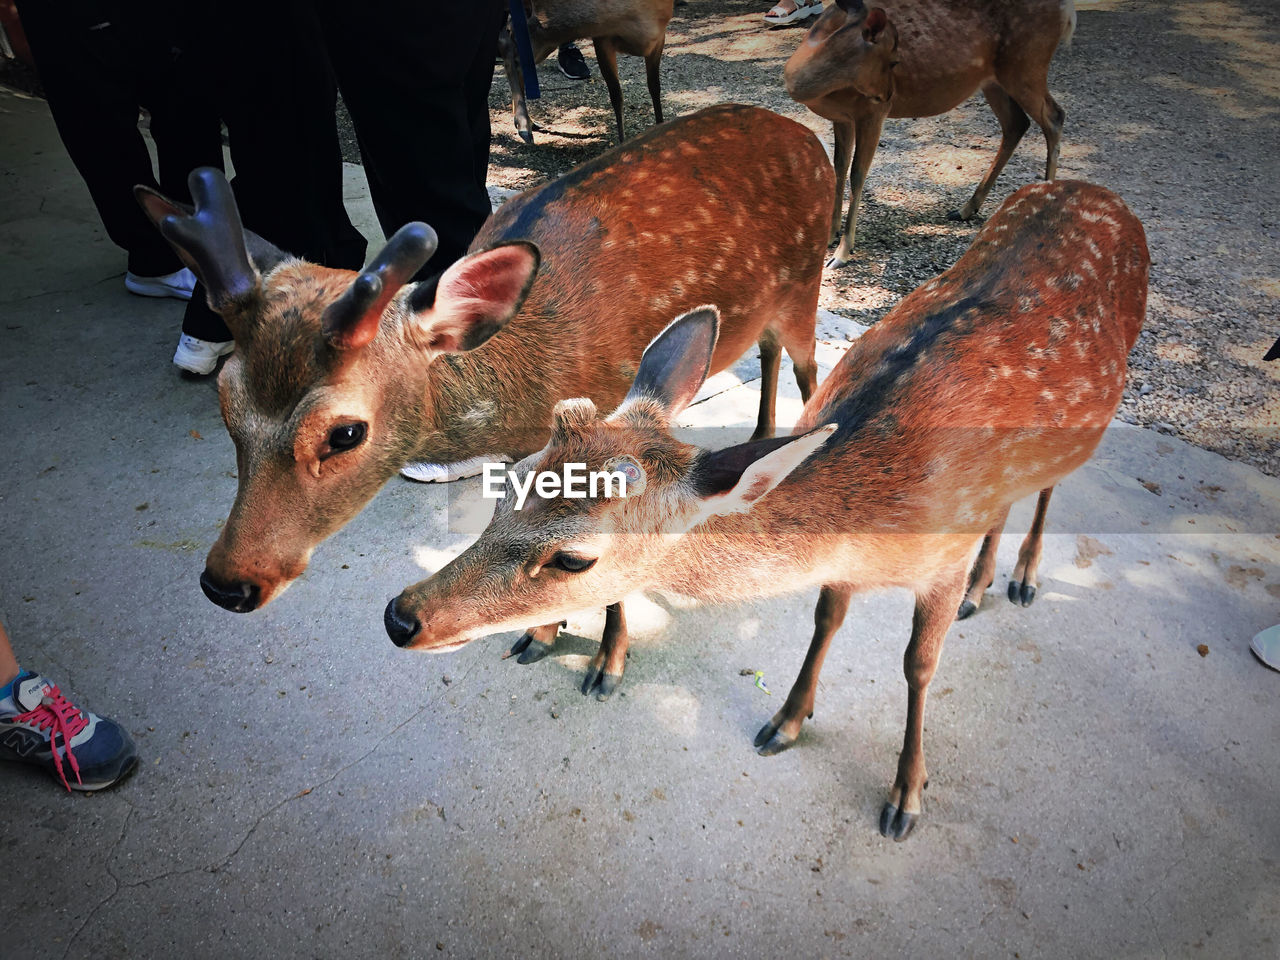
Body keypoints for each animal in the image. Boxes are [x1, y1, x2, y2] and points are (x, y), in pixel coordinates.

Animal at [378, 180, 1152, 839]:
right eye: (509, 486)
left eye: (574, 558)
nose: (401, 617)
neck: (877, 517)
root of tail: (1104, 195)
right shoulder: (848, 565)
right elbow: (825, 617)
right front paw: (787, 719)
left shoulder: (939, 560)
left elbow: (918, 666)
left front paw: (906, 795)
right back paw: (987, 582)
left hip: (1090, 423)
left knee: (1047, 488)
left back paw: (1018, 578)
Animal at [496, 0, 675, 142]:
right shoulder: (602, 38)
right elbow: (616, 96)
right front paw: (622, 143)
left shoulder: (659, 37)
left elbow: (655, 87)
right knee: (505, 45)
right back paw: (524, 124)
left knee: (513, 54)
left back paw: (529, 122)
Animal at [783, 0, 1075, 267]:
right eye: (893, 60)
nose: (889, 94)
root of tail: (1068, 9)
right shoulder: (842, 118)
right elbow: (839, 167)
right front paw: (830, 236)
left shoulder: (871, 112)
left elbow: (857, 174)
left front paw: (842, 253)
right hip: (993, 80)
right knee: (1017, 123)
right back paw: (966, 209)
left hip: (1026, 65)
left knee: (1054, 116)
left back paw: (1044, 205)